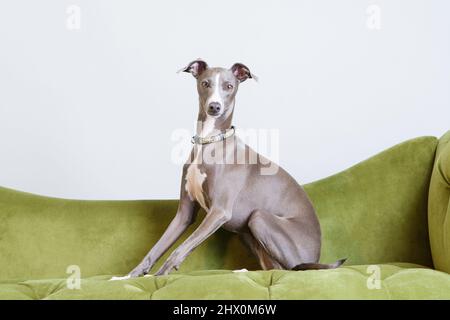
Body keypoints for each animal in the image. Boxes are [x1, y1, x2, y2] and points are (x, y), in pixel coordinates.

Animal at [125, 60, 344, 278]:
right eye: (205, 83)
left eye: (229, 86)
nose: (215, 107)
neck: (210, 141)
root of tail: (316, 255)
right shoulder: (184, 214)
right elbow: (156, 248)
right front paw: (129, 276)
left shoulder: (219, 212)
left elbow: (180, 249)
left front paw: (160, 275)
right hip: (248, 234)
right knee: (274, 268)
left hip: (259, 218)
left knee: (290, 270)